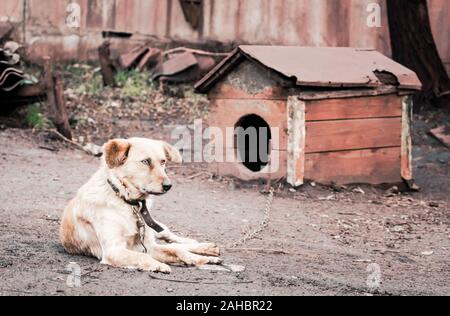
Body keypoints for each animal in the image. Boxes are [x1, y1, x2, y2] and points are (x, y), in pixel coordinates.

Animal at [59, 137, 221, 272]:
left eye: (163, 161)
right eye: (145, 161)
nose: (168, 186)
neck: (129, 203)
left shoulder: (146, 244)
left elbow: (175, 250)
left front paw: (198, 258)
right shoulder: (115, 250)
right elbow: (146, 255)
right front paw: (159, 265)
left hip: (156, 227)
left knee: (175, 240)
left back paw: (206, 249)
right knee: (172, 244)